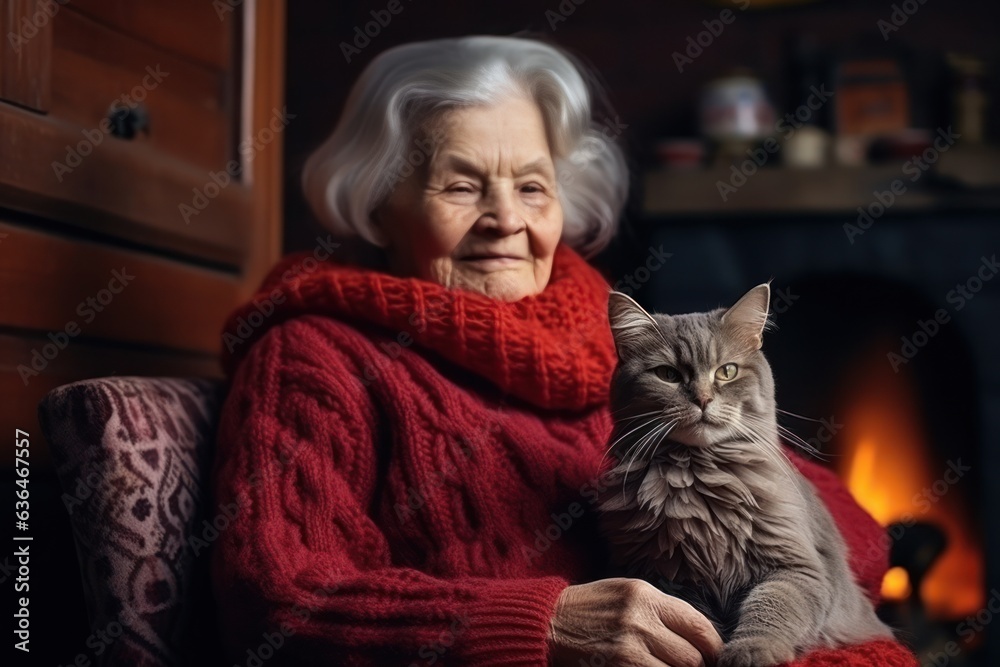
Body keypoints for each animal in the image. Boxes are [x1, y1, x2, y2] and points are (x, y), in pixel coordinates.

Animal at [596, 286, 896, 667]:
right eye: (668, 374)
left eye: (727, 372)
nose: (703, 399)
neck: (700, 478)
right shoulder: (666, 578)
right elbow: (697, 618)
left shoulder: (795, 570)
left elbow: (769, 612)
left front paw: (749, 651)